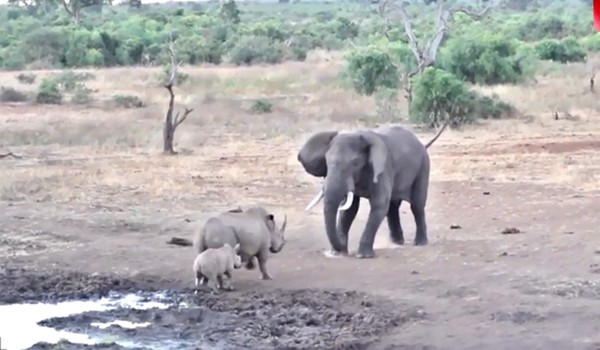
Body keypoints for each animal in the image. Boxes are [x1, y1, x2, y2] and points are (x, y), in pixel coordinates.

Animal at [298, 123, 448, 258]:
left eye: (355, 163)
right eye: (326, 162)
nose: (341, 247)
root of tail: (421, 144)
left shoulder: (383, 168)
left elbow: (378, 205)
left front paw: (363, 256)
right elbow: (349, 210)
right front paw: (337, 254)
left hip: (424, 166)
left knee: (416, 205)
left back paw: (420, 243)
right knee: (392, 207)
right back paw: (396, 242)